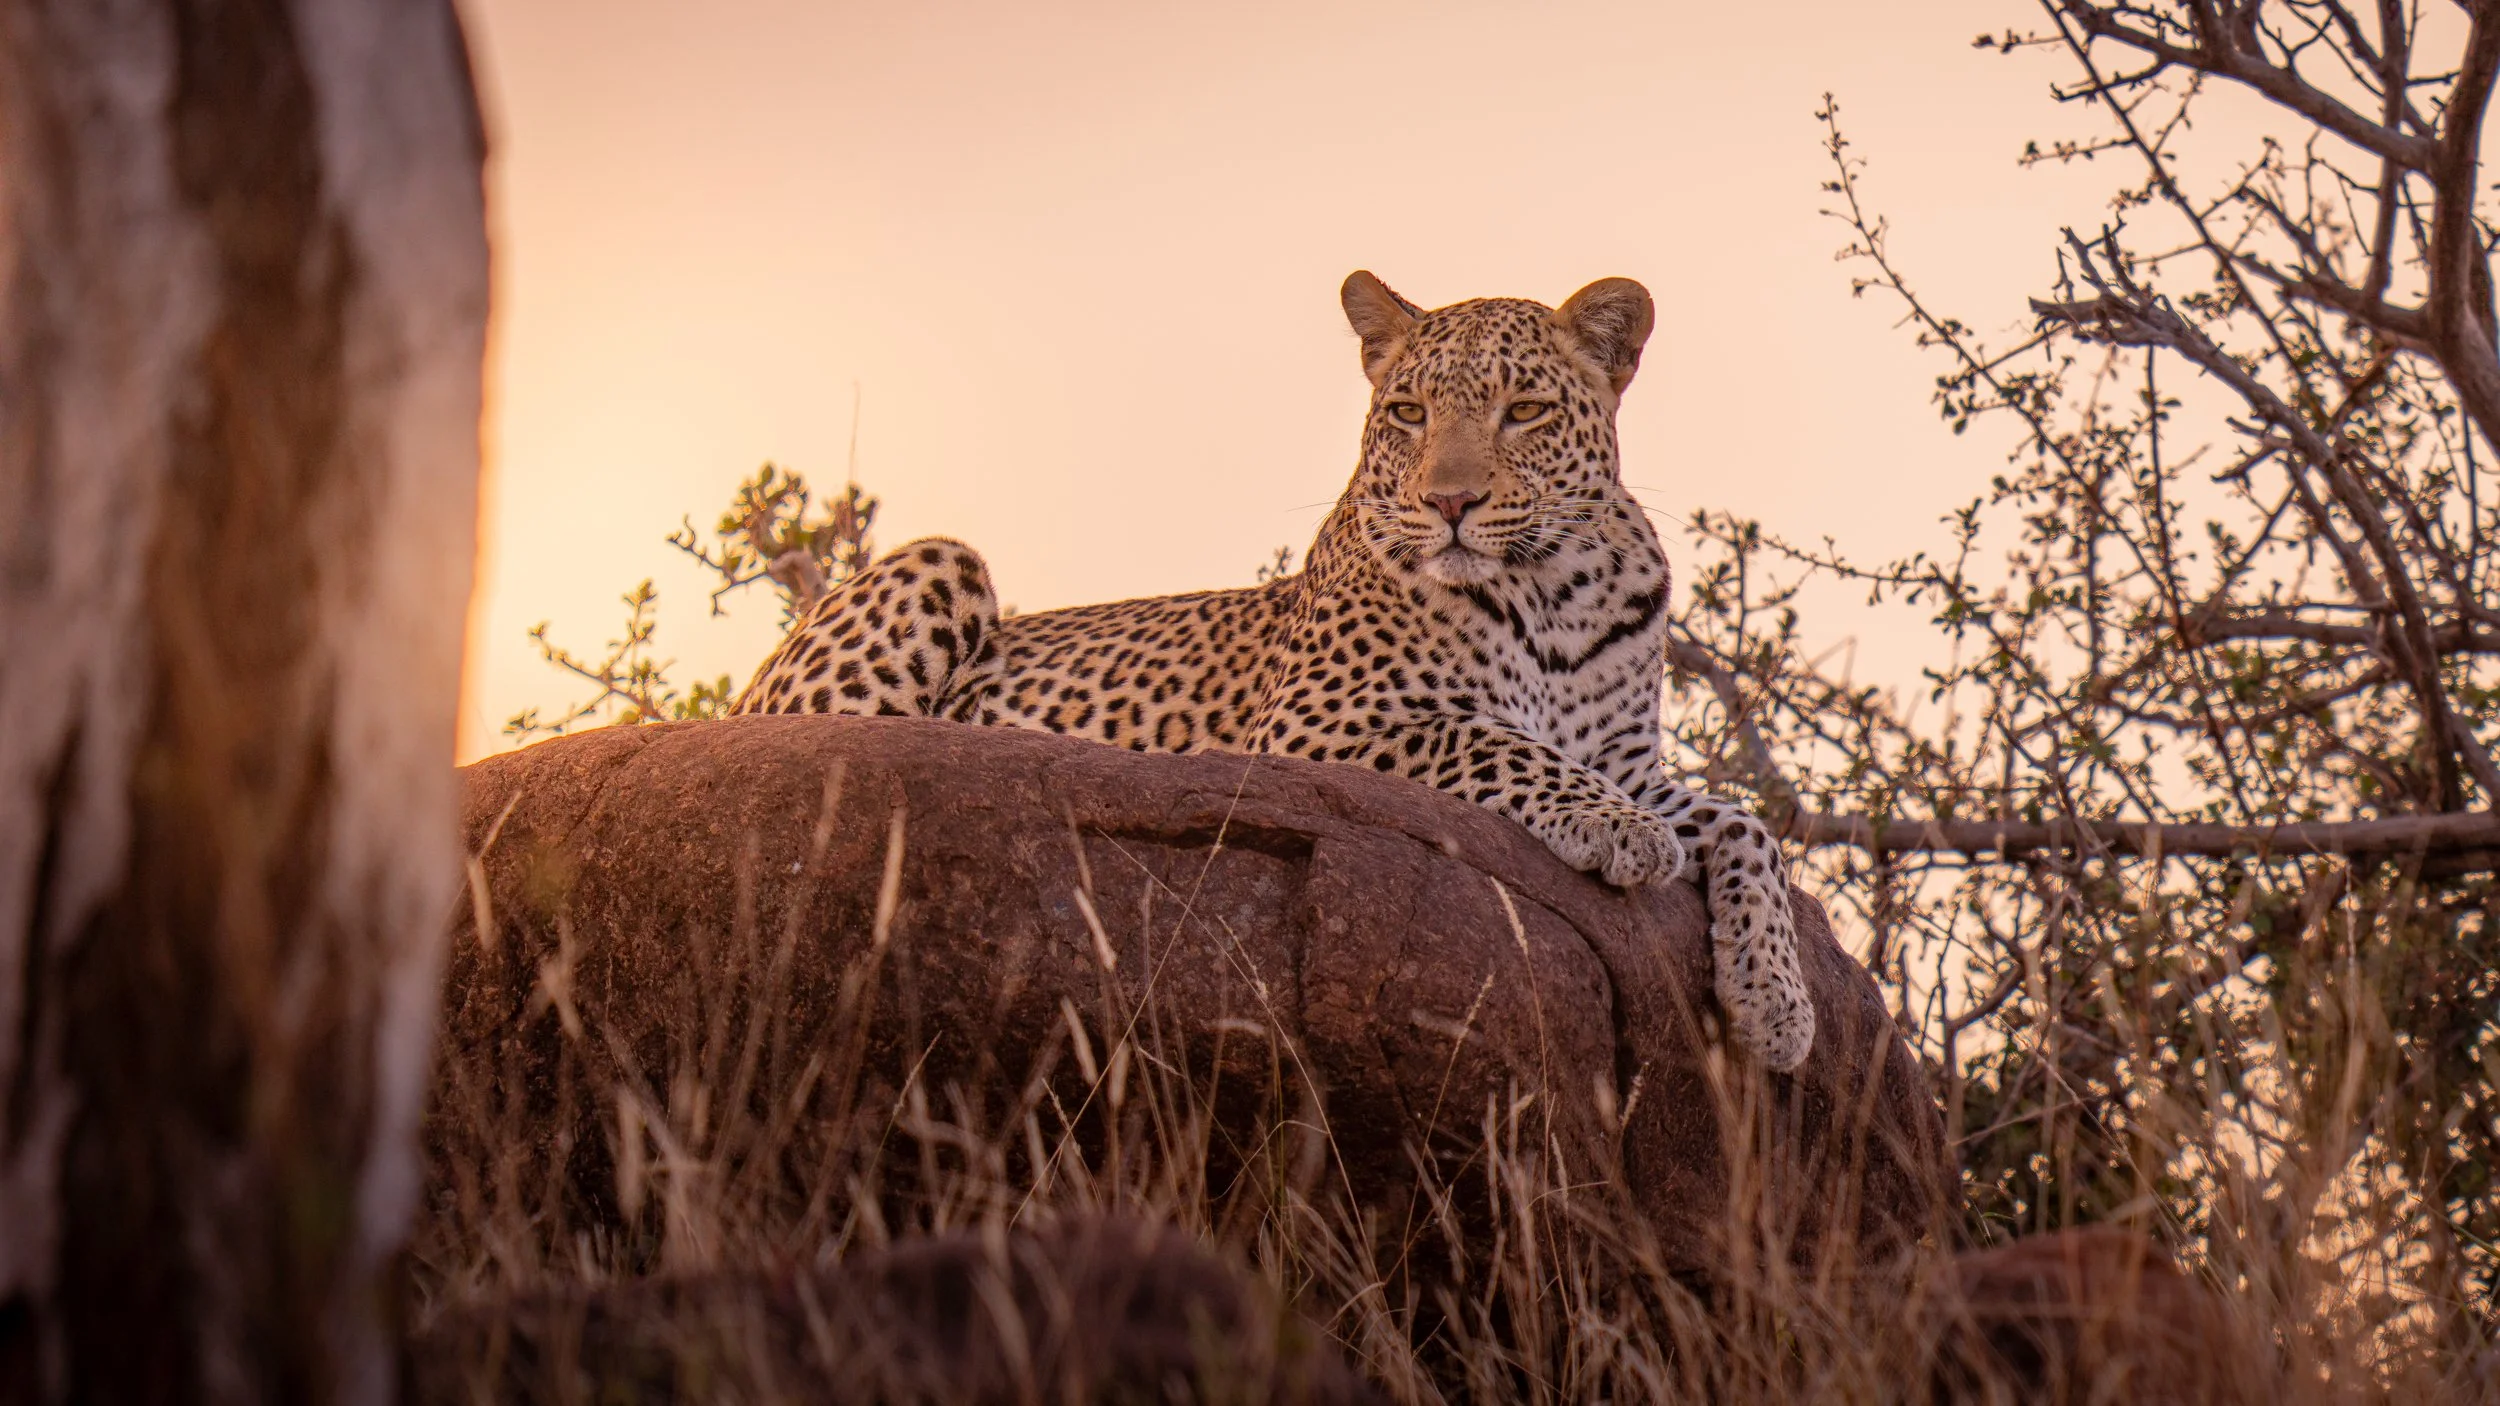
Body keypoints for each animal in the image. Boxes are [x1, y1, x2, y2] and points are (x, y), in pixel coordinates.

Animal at [731, 273, 1816, 1070]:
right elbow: (1498, 742)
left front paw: (1778, 1003)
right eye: (1408, 411)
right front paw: (1621, 833)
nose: (1448, 503)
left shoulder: (1629, 757)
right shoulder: (1323, 724)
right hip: (935, 563)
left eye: (1527, 409)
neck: (1553, 587)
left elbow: (1746, 824)